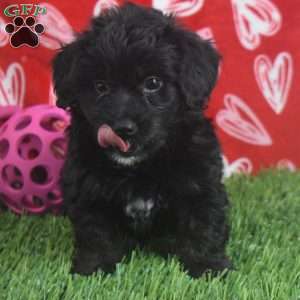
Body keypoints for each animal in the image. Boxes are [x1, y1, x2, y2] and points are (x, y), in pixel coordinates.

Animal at [52, 2, 232, 278]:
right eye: (100, 86)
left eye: (153, 83)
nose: (123, 128)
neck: (140, 167)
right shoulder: (86, 187)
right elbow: (95, 232)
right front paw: (94, 270)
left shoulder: (200, 182)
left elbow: (204, 224)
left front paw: (208, 267)